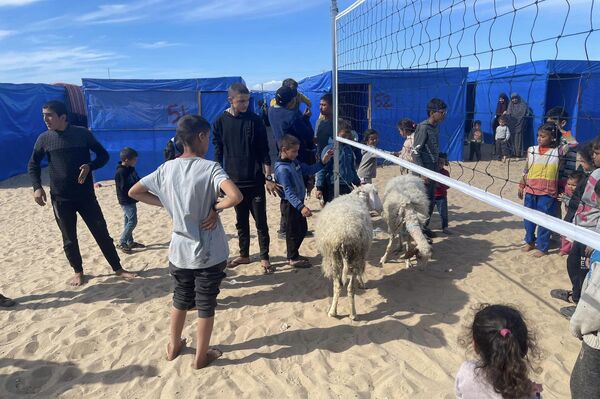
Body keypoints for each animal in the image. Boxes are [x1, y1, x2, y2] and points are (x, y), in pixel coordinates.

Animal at [314, 185, 380, 322]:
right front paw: (362, 283)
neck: (356, 197)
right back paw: (351, 314)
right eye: (376, 192)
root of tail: (346, 235)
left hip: (335, 258)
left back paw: (335, 312)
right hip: (355, 256)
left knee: (339, 286)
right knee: (348, 286)